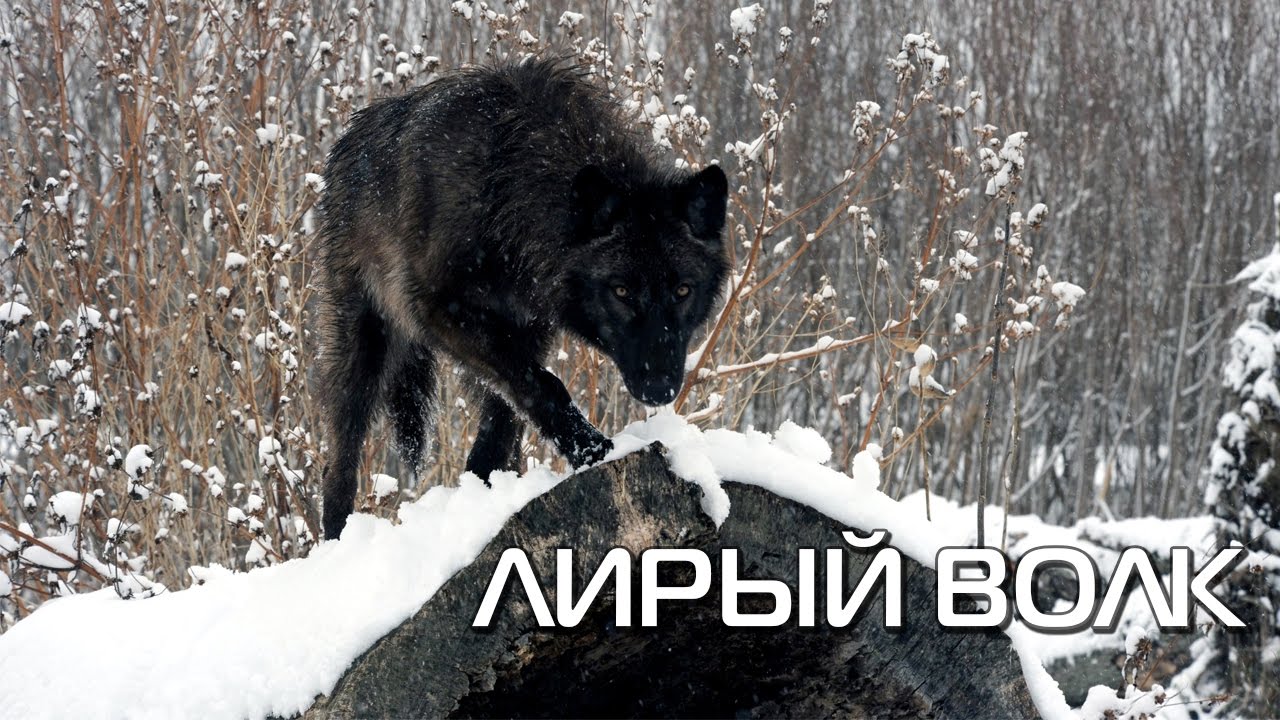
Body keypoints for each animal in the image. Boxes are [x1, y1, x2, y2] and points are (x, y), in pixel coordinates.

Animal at [314, 59, 729, 539]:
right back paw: (337, 540)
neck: (508, 183)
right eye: (622, 291)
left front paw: (489, 492)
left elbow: (509, 414)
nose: (660, 387)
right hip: (364, 348)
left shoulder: (527, 329)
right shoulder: (439, 311)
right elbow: (543, 385)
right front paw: (592, 449)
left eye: (682, 291)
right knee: (340, 457)